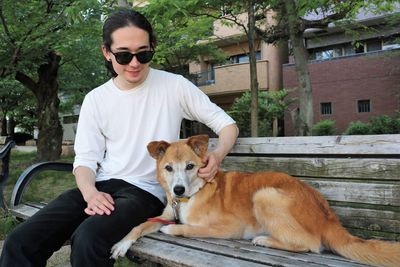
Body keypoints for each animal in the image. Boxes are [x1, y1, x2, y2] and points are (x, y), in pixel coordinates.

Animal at [111, 136, 400, 267]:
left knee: (309, 244)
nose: (178, 189)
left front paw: (173, 230)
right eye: (169, 168)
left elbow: (186, 228)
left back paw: (264, 240)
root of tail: (328, 213)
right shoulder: (164, 214)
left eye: (191, 166)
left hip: (265, 195)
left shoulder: (230, 227)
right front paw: (122, 243)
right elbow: (140, 225)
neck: (191, 195)